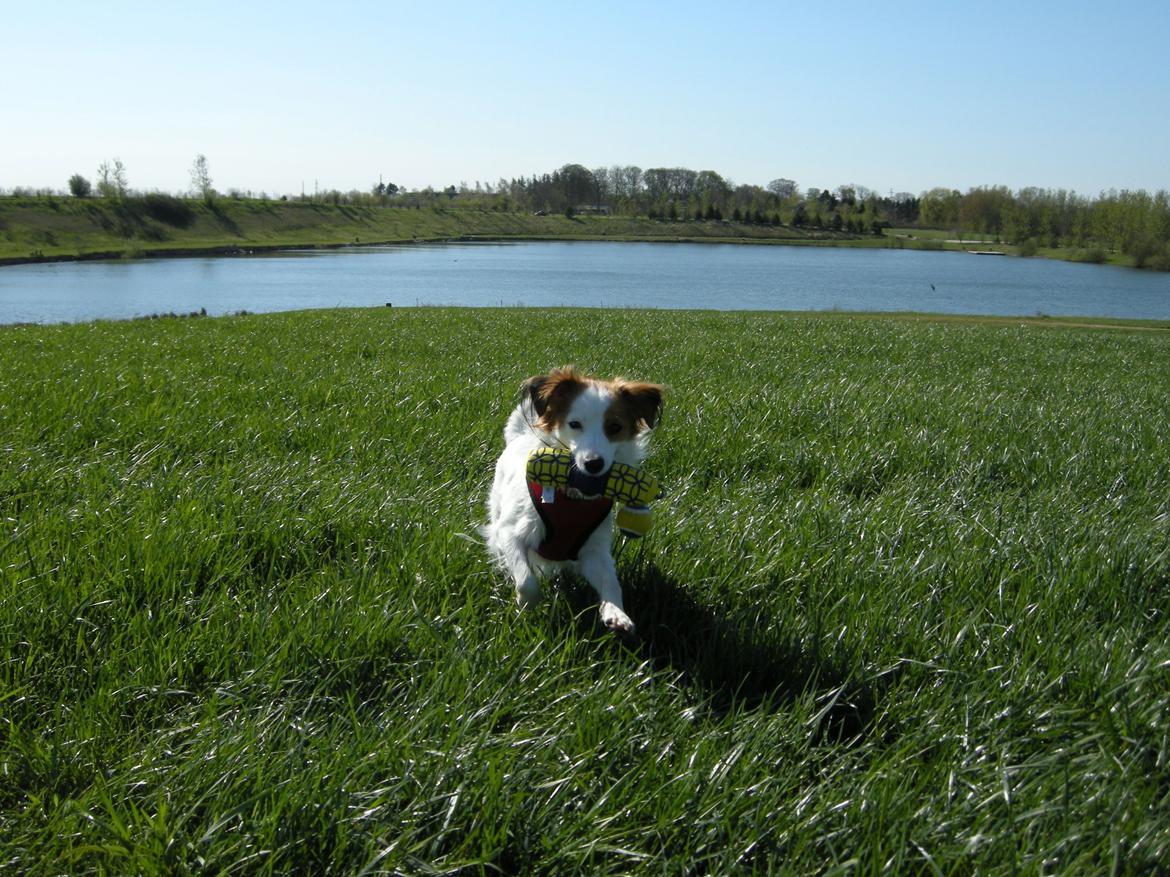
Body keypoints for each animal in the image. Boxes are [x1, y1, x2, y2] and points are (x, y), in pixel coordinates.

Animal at [484, 367, 669, 636]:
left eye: (614, 427)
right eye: (574, 424)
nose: (593, 464)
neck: (571, 499)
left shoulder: (594, 548)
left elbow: (610, 582)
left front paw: (617, 613)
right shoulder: (509, 531)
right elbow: (526, 579)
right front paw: (525, 602)